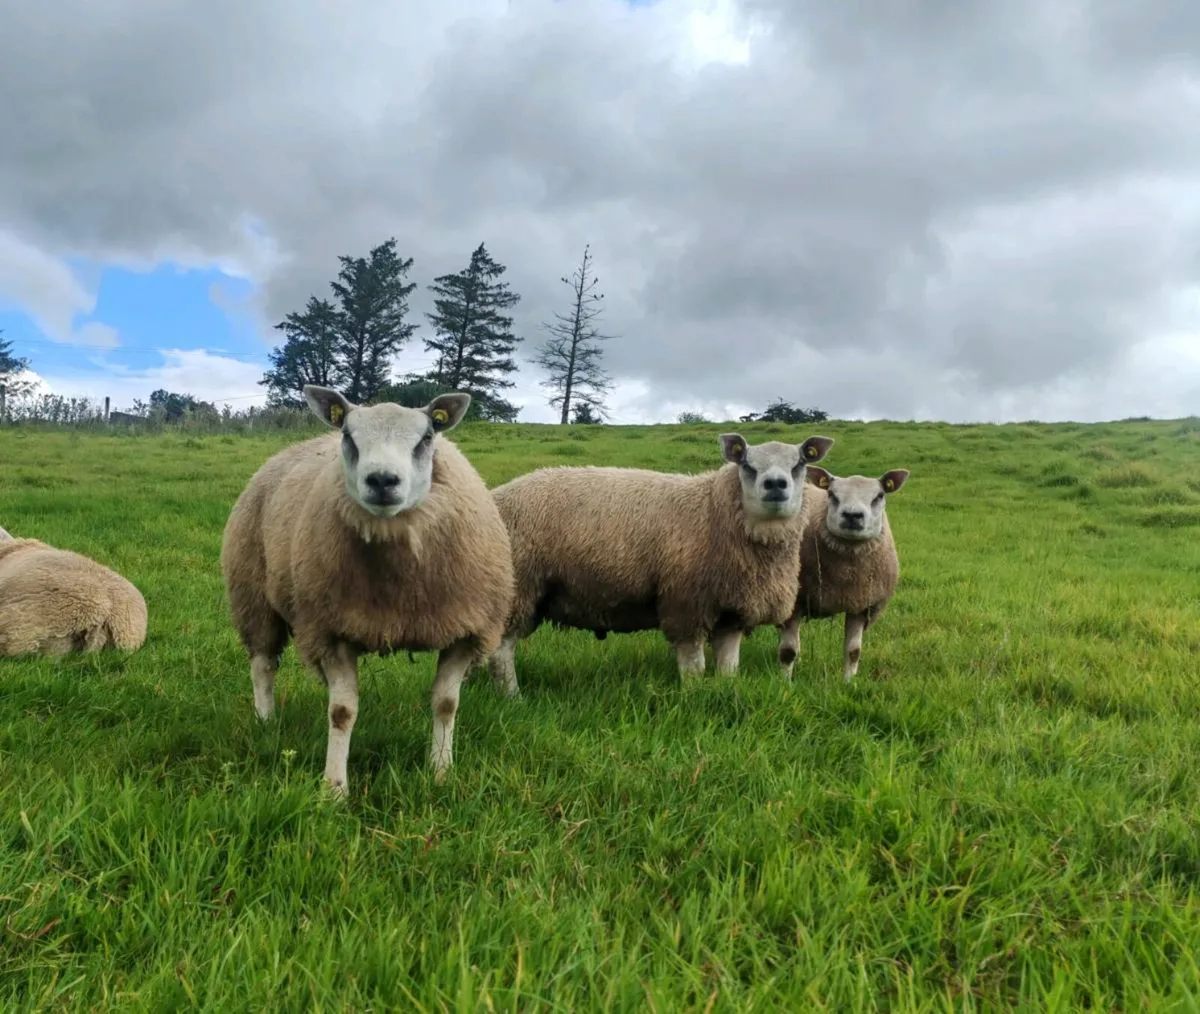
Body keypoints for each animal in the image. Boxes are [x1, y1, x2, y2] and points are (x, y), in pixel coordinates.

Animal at [220, 385, 515, 795]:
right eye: (348, 434)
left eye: (427, 437)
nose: (382, 480)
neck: (400, 591)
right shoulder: (331, 631)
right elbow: (342, 712)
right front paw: (334, 789)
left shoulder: (467, 631)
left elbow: (446, 704)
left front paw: (441, 772)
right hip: (252, 596)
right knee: (262, 665)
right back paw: (266, 721)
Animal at [487, 432, 834, 693]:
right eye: (747, 463)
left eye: (799, 463)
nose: (775, 485)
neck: (713, 511)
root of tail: (495, 497)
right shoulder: (686, 603)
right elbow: (695, 667)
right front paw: (693, 697)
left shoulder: (732, 610)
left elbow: (728, 667)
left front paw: (724, 692)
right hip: (517, 586)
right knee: (501, 651)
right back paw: (513, 697)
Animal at [774, 465, 911, 681]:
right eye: (831, 494)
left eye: (879, 495)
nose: (852, 515)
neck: (846, 575)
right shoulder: (795, 601)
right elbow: (788, 651)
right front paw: (785, 682)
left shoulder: (860, 604)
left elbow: (853, 651)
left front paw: (848, 682)